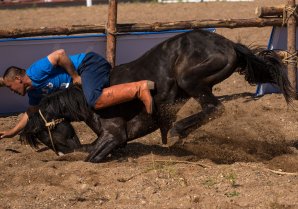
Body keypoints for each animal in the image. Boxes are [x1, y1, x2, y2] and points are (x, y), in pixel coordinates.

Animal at [21, 29, 294, 163]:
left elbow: (91, 156)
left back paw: (177, 131)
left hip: (190, 81)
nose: (63, 152)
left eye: (43, 133)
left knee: (215, 108)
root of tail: (229, 45)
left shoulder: (114, 135)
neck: (86, 102)